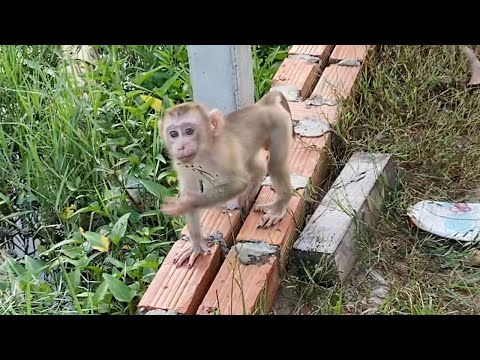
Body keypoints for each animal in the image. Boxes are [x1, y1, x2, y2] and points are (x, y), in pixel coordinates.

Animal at [159, 91, 294, 268]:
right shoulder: (182, 164)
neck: (203, 152)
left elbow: (238, 184)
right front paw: (196, 245)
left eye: (189, 131)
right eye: (173, 134)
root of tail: (263, 105)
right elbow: (190, 190)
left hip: (279, 124)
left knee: (275, 165)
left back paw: (279, 205)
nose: (181, 146)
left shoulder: (222, 155)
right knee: (257, 166)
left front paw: (185, 204)